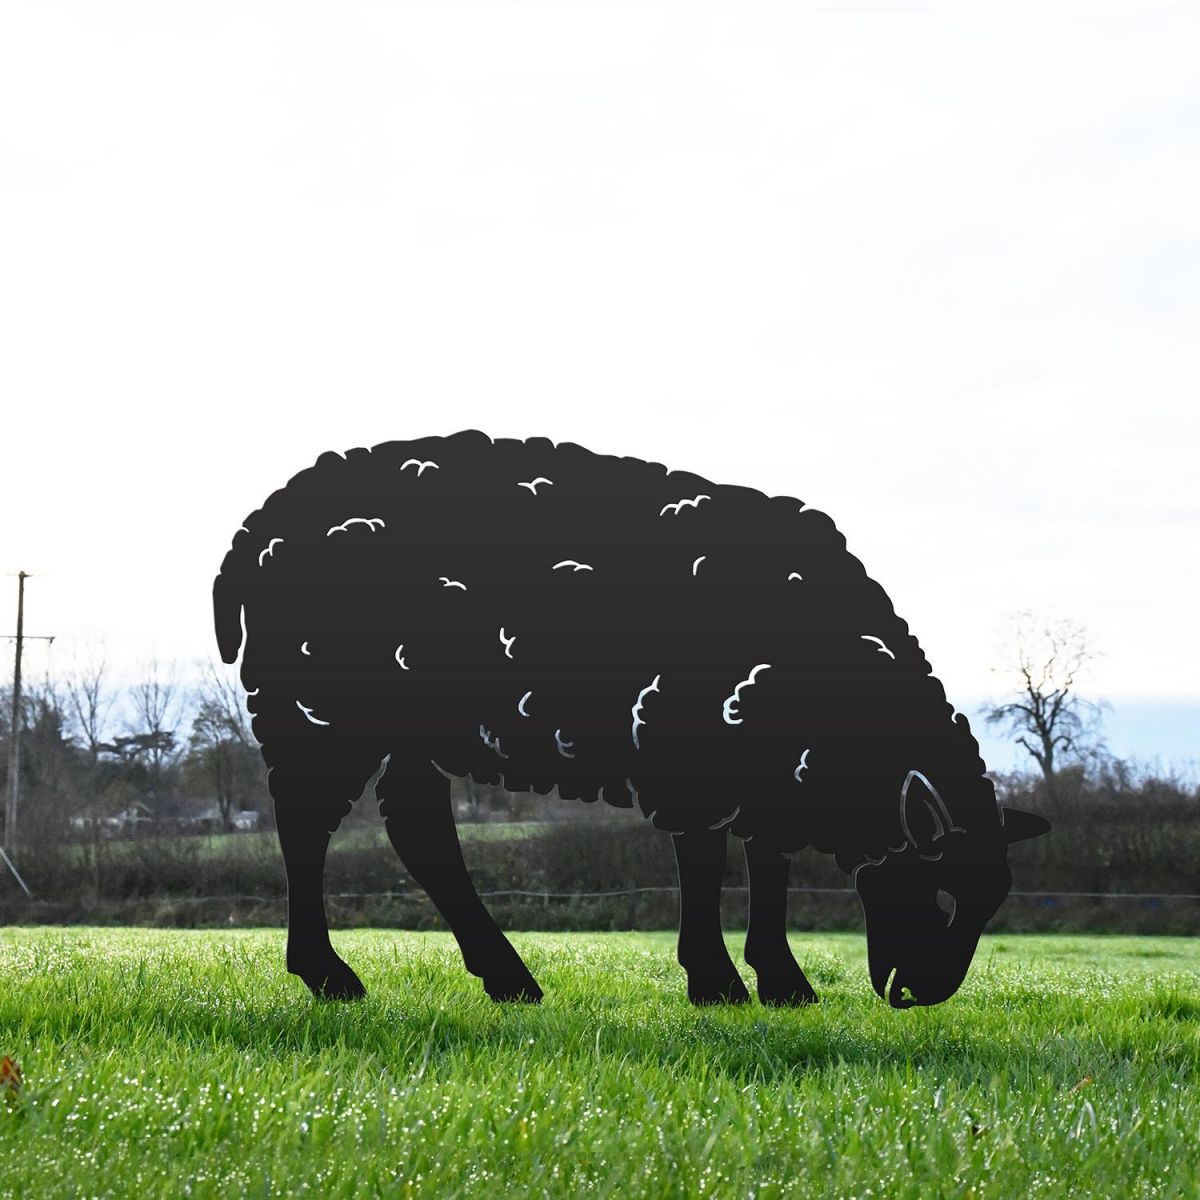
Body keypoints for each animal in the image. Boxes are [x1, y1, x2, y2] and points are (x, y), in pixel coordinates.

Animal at [213, 430, 1049, 1008]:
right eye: (940, 886)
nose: (924, 995)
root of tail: (256, 529)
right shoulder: (690, 742)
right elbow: (707, 861)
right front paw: (717, 984)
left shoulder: (764, 757)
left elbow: (769, 863)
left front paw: (782, 982)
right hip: (319, 705)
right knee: (305, 823)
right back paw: (328, 974)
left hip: (413, 722)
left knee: (418, 828)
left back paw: (507, 978)